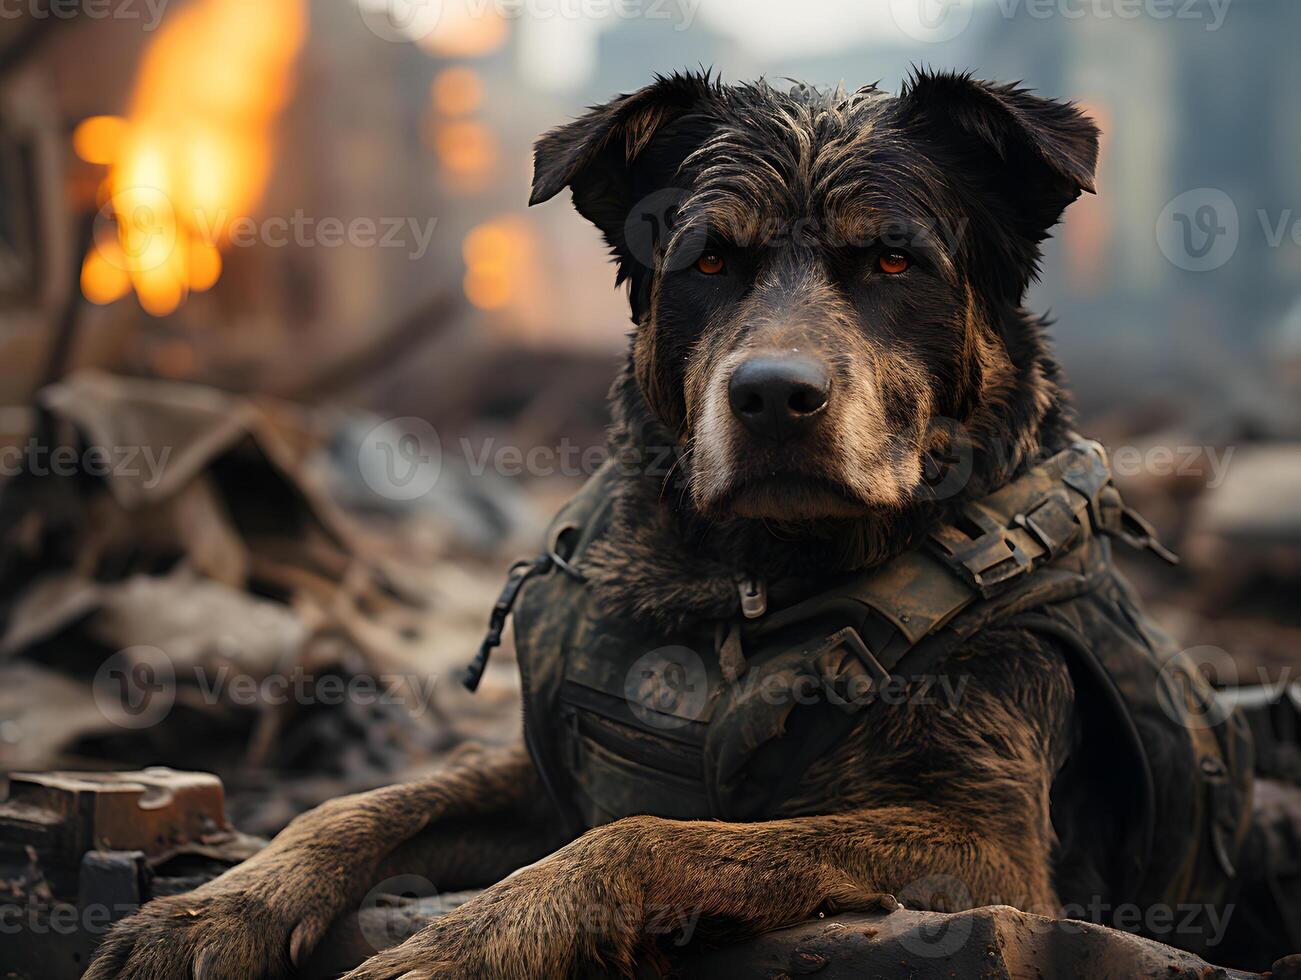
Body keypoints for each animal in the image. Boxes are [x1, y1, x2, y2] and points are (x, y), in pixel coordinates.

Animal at [83, 70, 1259, 978]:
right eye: (706, 261)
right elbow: (365, 804)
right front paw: (216, 905)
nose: (775, 395)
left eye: (893, 261)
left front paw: (461, 947)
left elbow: (648, 839)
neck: (752, 582)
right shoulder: (554, 775)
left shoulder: (986, 848)